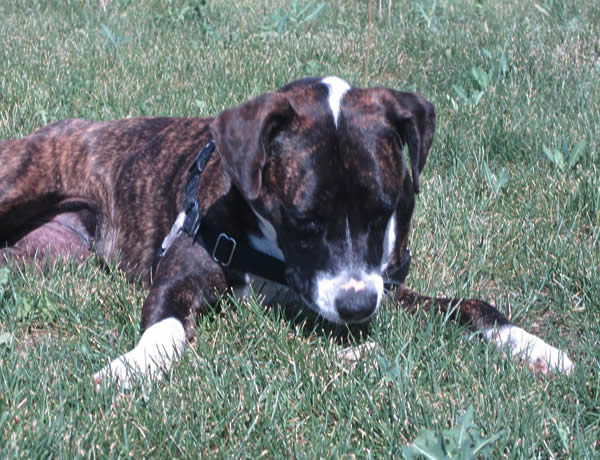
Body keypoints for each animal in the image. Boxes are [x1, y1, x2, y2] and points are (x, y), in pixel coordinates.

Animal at [0, 76, 573, 387]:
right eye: (305, 220)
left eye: (384, 212)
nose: (356, 308)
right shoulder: (178, 278)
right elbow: (165, 329)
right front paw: (131, 367)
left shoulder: (385, 286)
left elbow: (471, 307)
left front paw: (533, 346)